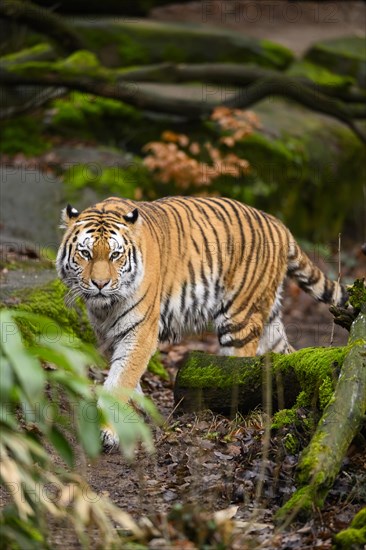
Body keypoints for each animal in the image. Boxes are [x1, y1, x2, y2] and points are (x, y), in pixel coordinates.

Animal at [55, 196, 348, 450]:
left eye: (115, 255)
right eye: (85, 253)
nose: (100, 284)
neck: (105, 307)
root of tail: (278, 225)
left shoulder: (139, 332)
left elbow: (121, 380)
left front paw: (111, 431)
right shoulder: (108, 334)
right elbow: (124, 377)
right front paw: (136, 412)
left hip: (240, 318)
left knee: (241, 368)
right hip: (269, 323)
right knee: (289, 357)